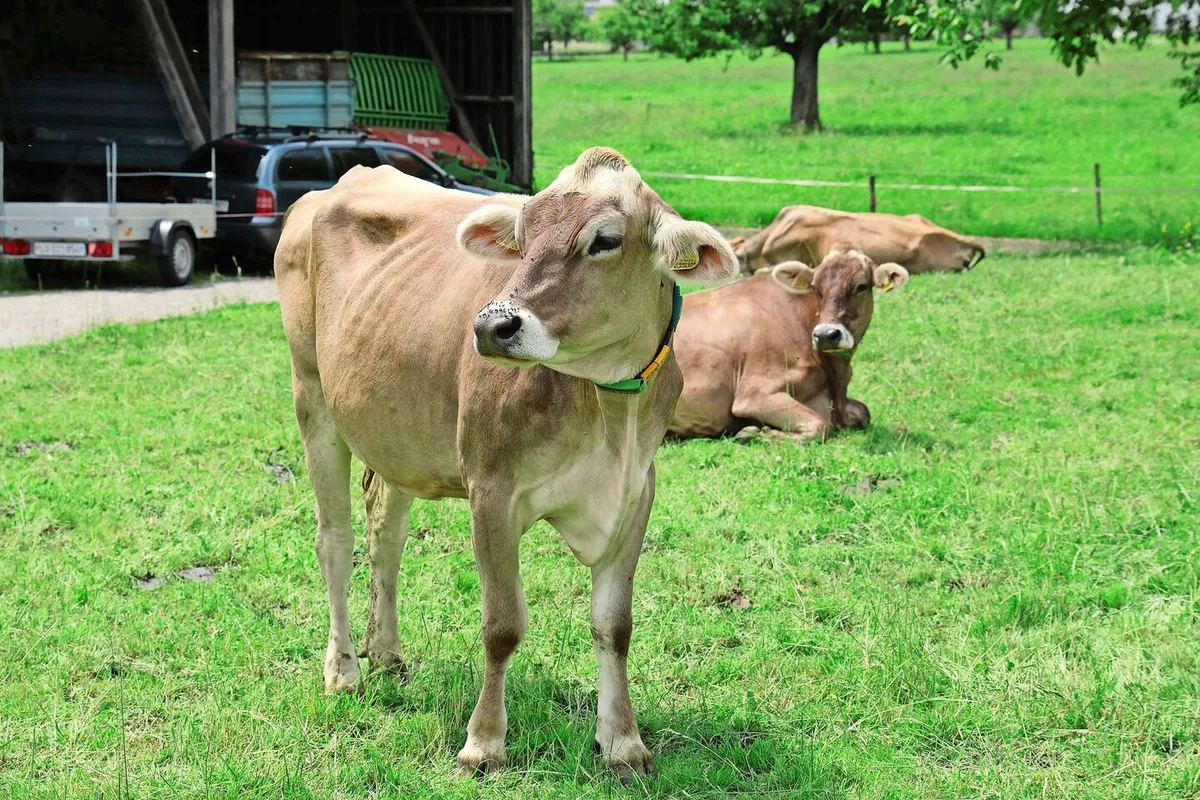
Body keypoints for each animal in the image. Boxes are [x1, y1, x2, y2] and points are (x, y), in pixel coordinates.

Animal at [274, 147, 738, 778]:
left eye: (606, 239)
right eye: (522, 234)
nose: (492, 326)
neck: (606, 409)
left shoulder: (636, 492)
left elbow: (614, 626)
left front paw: (623, 742)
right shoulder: (491, 491)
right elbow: (502, 625)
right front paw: (483, 743)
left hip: (396, 431)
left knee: (386, 534)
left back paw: (386, 652)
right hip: (312, 394)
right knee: (335, 541)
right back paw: (344, 670)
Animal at [668, 250, 908, 443]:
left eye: (861, 286)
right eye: (815, 288)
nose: (826, 335)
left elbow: (863, 411)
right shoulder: (754, 394)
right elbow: (819, 426)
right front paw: (754, 432)